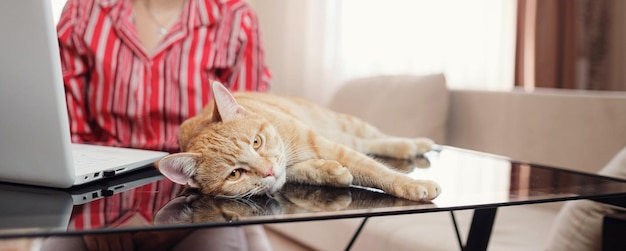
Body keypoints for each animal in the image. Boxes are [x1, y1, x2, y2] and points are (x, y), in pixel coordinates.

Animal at [156, 82, 438, 202]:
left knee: (372, 138)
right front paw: (329, 172)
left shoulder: (327, 145)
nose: (269, 170)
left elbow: (376, 170)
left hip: (342, 124)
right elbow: (299, 173)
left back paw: (414, 144)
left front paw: (412, 185)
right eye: (235, 174)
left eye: (256, 142)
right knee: (362, 142)